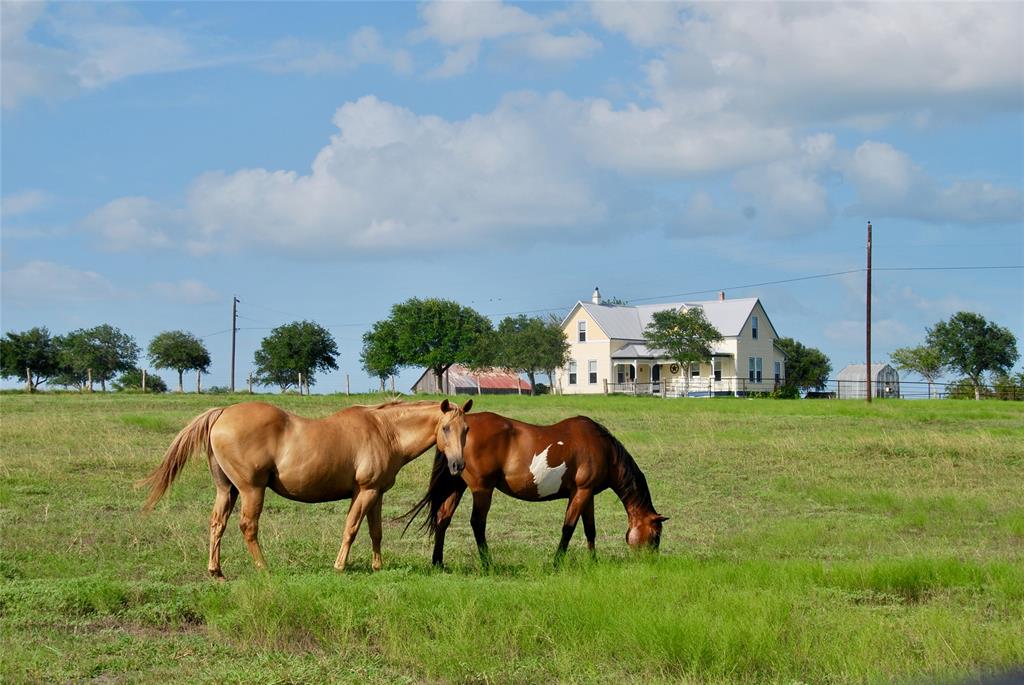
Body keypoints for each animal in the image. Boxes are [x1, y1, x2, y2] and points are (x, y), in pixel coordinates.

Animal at [142, 398, 472, 578]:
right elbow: (351, 528)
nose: (458, 466)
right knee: (248, 527)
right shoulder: (364, 491)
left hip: (227, 490)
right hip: (251, 490)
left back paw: (217, 572)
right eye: (445, 428)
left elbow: (375, 531)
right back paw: (264, 568)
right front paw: (339, 566)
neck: (385, 431)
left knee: (217, 524)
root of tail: (222, 413)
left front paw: (377, 566)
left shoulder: (375, 493)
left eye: (466, 429)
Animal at [405, 411, 666, 567]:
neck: (603, 448)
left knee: (443, 519)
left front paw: (593, 562)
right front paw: (556, 562)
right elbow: (568, 528)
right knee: (477, 524)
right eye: (655, 536)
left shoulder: (586, 494)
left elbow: (589, 530)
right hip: (482, 489)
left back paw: (438, 562)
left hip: (456, 485)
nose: (651, 562)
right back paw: (488, 563)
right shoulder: (581, 492)